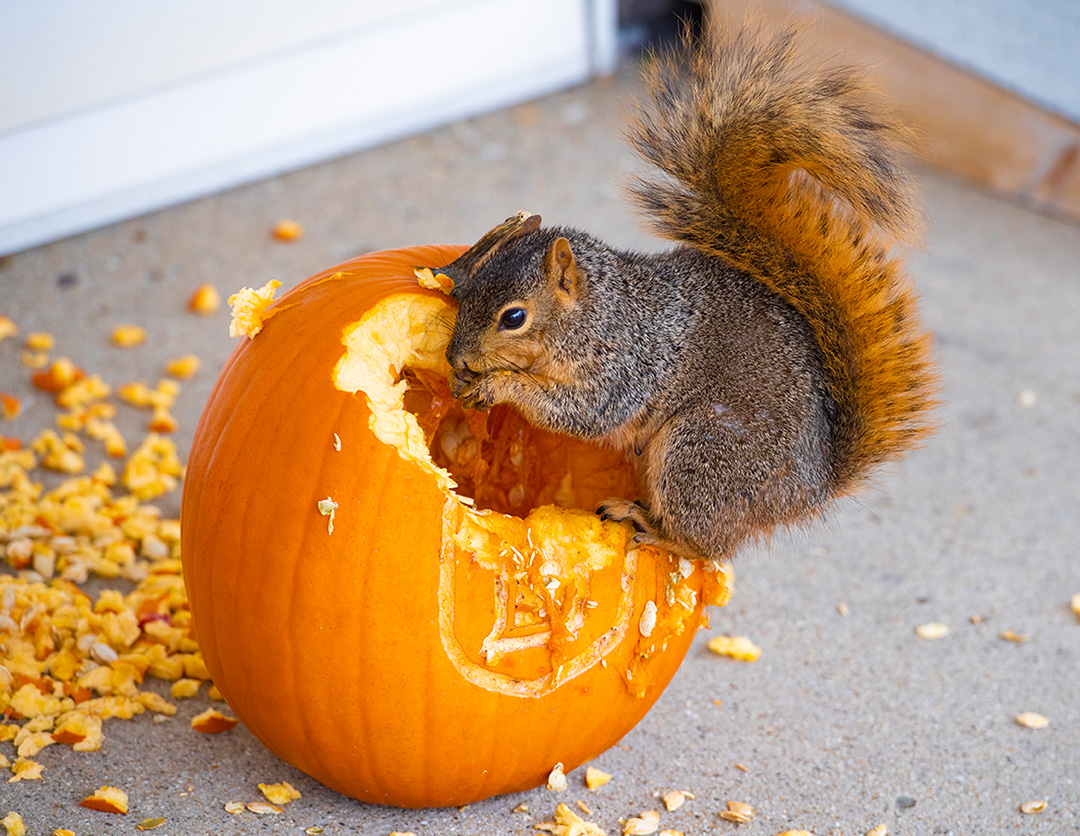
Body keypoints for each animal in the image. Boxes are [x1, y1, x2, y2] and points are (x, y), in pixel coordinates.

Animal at [438, 22, 937, 565]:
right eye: (470, 286)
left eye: (514, 317)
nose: (455, 356)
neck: (597, 313)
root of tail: (811, 488)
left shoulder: (625, 367)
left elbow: (580, 411)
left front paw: (499, 385)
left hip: (700, 453)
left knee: (706, 546)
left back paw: (651, 526)